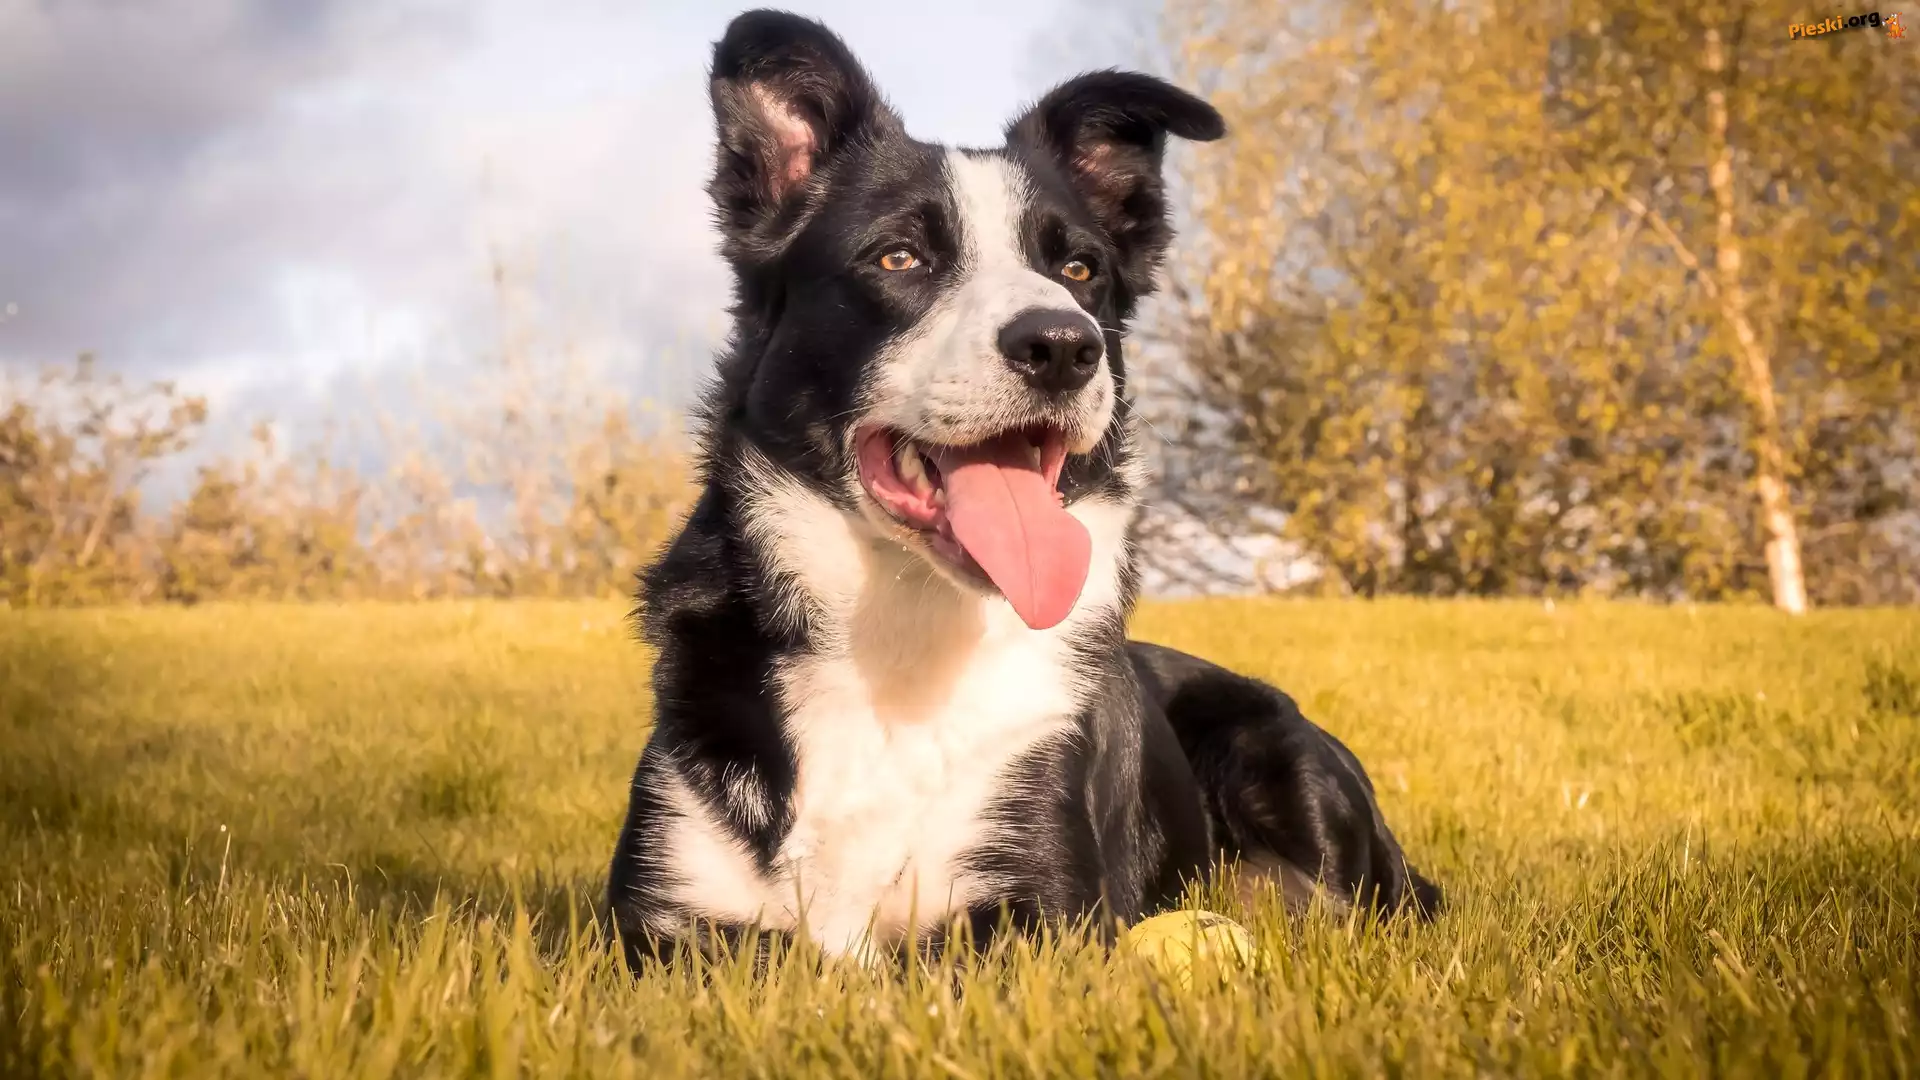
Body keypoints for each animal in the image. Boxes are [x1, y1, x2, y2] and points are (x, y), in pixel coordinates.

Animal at [608, 9, 1440, 968]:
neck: (905, 630)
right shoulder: (664, 923)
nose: (1062, 345)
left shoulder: (1040, 907)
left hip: (1280, 752)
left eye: (1080, 272)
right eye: (899, 257)